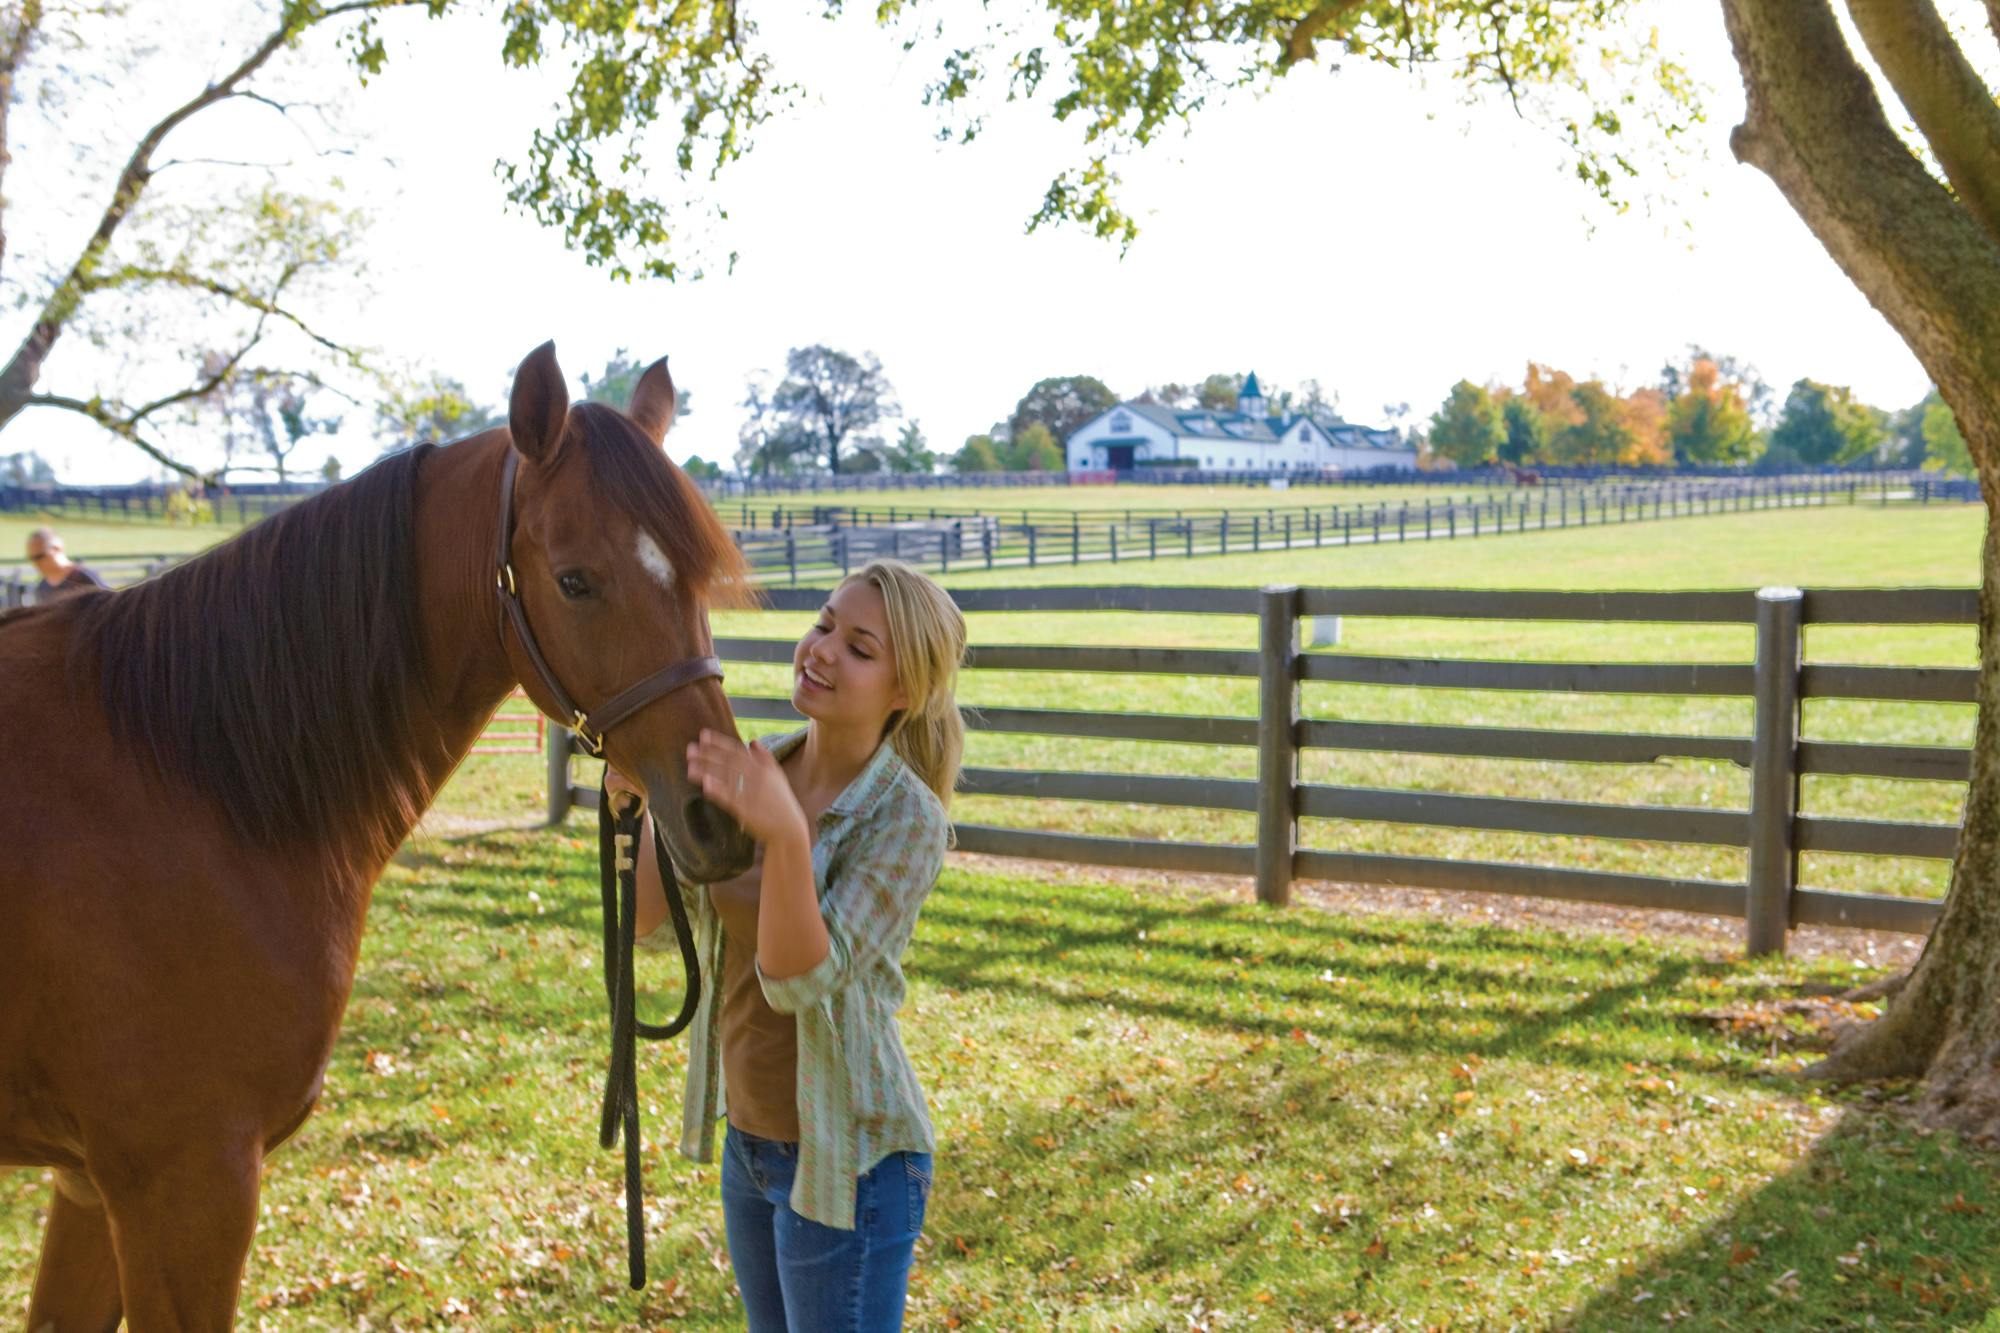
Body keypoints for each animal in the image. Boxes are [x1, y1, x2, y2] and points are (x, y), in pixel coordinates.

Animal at [0, 341, 756, 1329]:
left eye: (700, 576)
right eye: (575, 580)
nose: (724, 819)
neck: (191, 779)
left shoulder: (89, 1185)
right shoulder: (180, 1183)